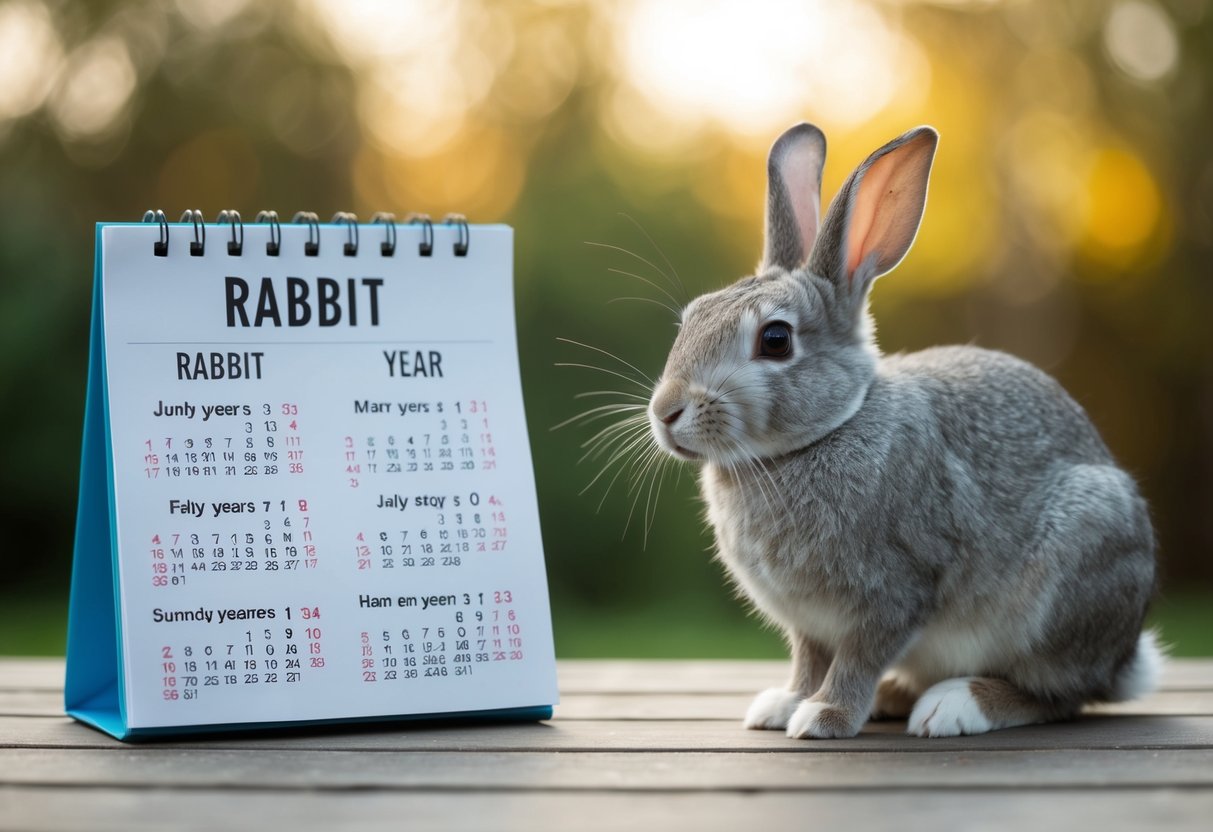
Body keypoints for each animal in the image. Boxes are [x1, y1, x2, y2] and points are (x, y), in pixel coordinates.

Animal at [646, 122, 1161, 738]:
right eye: (692, 317)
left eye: (775, 340)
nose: (665, 411)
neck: (820, 435)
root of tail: (1125, 659)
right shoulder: (809, 624)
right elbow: (808, 660)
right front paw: (783, 705)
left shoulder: (895, 590)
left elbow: (857, 658)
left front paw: (823, 716)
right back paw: (895, 696)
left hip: (1070, 576)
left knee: (1058, 696)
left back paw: (954, 706)